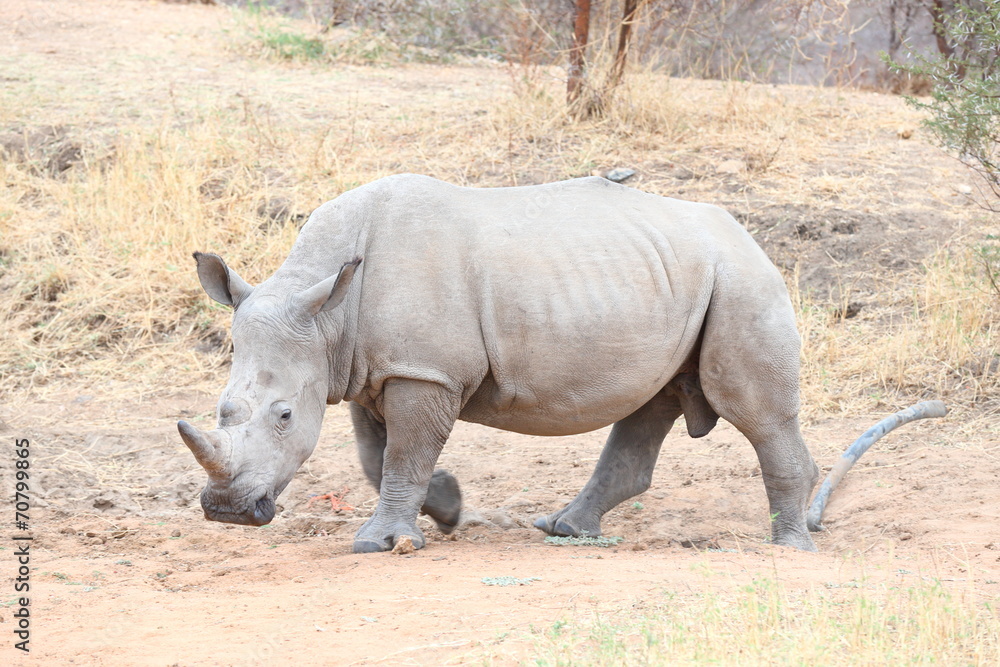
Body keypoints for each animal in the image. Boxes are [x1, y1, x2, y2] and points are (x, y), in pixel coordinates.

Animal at [178, 174, 820, 553]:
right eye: (223, 409)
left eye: (284, 416)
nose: (228, 513)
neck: (327, 315)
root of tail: (745, 233)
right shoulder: (373, 367)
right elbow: (375, 455)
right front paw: (448, 508)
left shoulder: (422, 370)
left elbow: (403, 454)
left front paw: (380, 543)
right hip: (672, 281)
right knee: (650, 404)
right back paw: (564, 530)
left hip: (742, 281)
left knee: (756, 414)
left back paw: (789, 547)